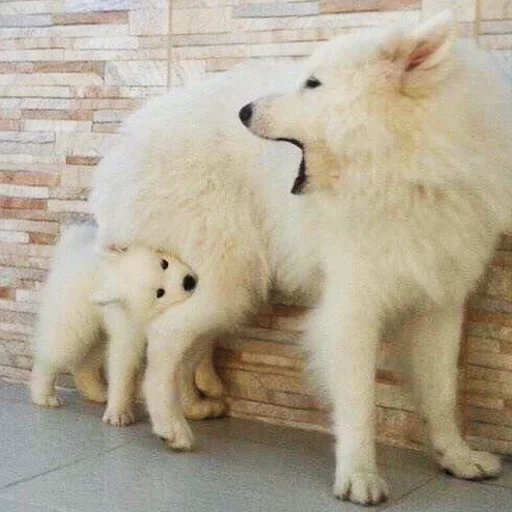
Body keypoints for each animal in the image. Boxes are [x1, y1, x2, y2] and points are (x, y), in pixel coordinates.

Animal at [29, 226, 199, 430]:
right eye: (160, 292)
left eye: (164, 263)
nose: (188, 281)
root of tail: (67, 251)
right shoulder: (128, 326)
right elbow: (123, 365)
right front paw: (118, 415)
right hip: (72, 319)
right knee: (55, 352)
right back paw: (44, 396)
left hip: (97, 330)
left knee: (87, 362)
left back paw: (98, 393)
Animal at [92, 14, 512, 506]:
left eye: (312, 84)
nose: (244, 112)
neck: (409, 168)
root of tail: (128, 138)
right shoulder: (352, 310)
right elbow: (359, 404)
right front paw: (359, 476)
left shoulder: (440, 305)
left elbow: (442, 395)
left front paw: (457, 458)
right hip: (231, 280)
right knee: (164, 336)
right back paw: (169, 425)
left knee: (185, 345)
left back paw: (191, 407)